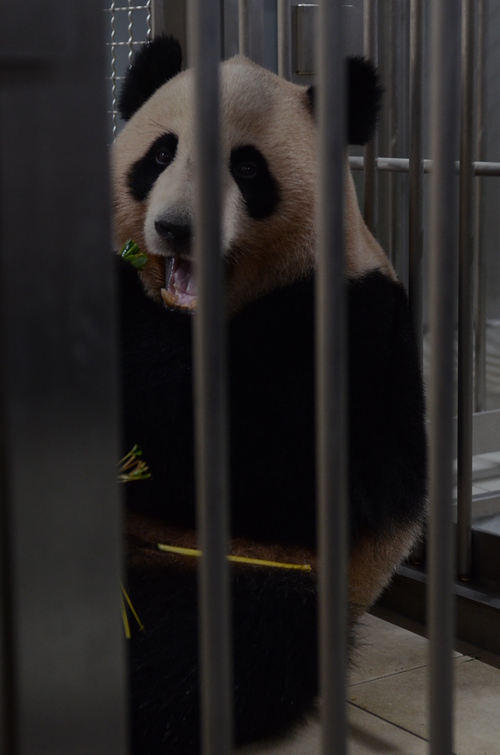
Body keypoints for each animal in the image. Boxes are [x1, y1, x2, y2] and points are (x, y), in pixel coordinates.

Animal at [113, 34, 426, 755]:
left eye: (247, 168)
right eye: (161, 153)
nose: (177, 228)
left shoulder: (353, 321)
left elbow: (288, 467)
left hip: (258, 578)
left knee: (186, 652)